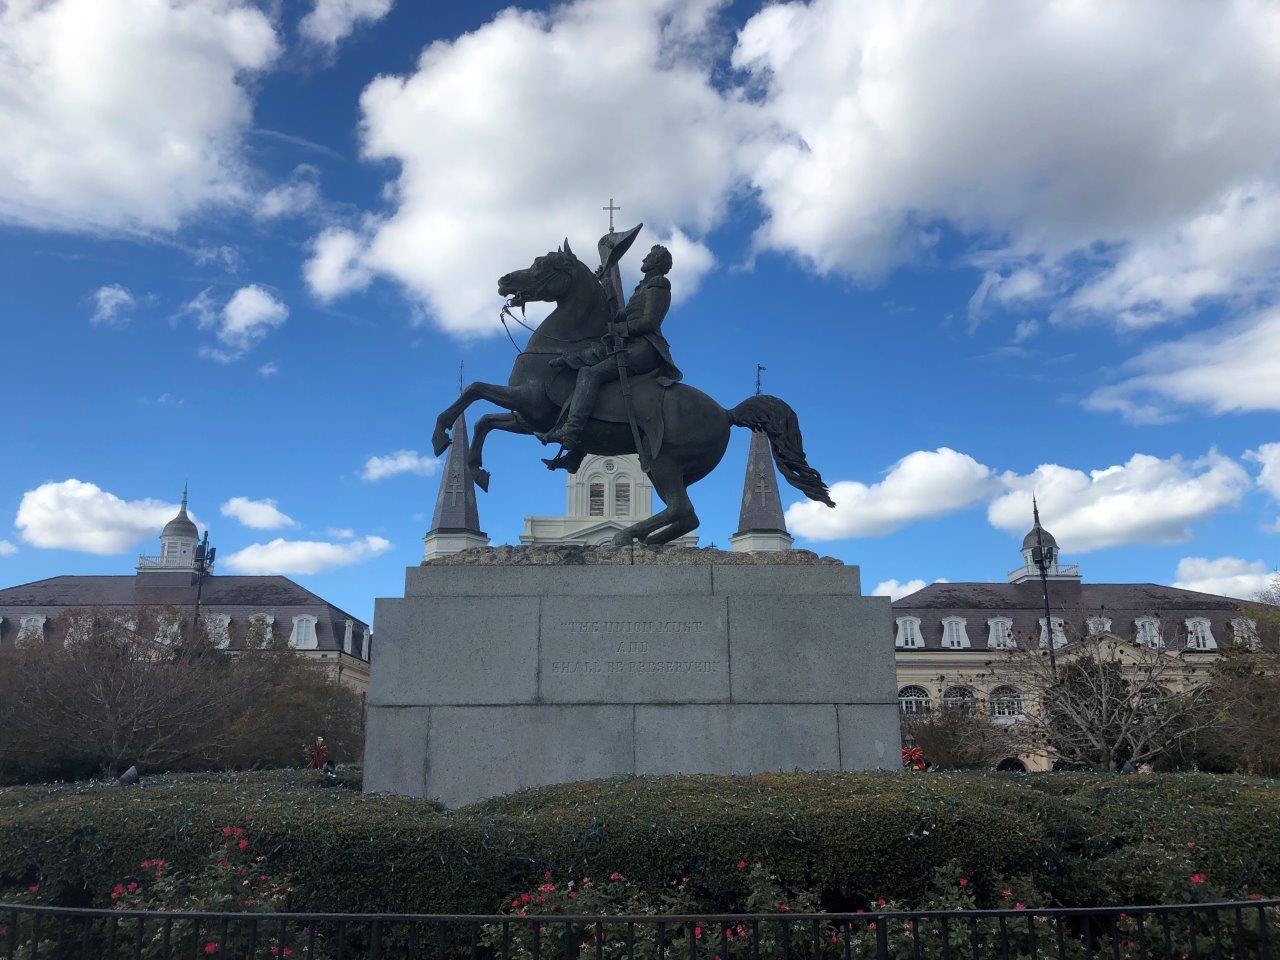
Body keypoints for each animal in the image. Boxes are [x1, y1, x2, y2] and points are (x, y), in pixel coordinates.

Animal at [430, 240, 834, 547]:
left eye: (544, 264)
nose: (504, 280)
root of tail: (726, 412)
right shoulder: (528, 419)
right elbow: (482, 417)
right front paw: (473, 467)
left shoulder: (530, 405)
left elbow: (475, 392)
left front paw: (442, 437)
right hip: (664, 466)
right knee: (685, 515)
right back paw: (643, 538)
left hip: (663, 462)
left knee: (683, 511)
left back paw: (627, 537)